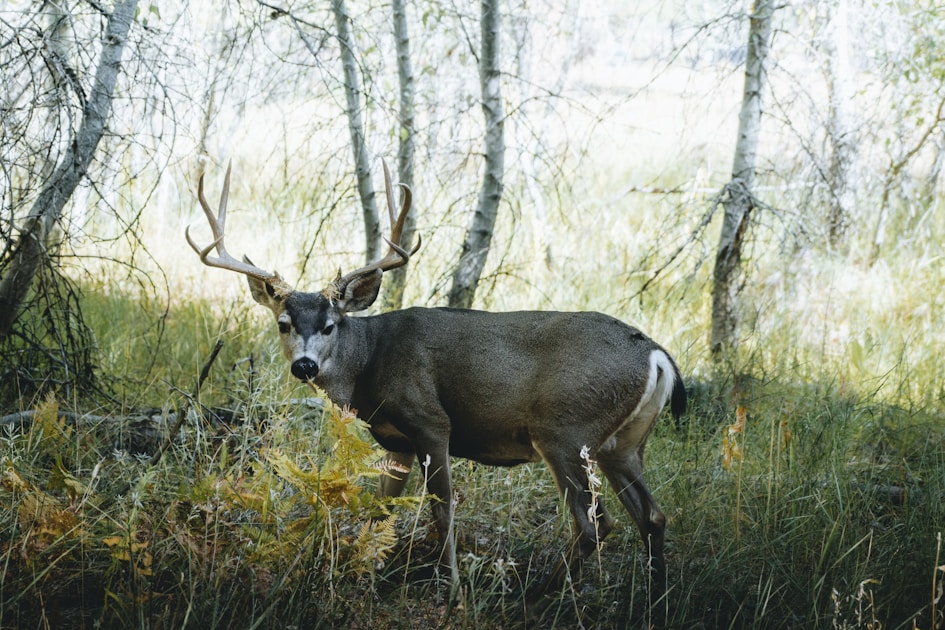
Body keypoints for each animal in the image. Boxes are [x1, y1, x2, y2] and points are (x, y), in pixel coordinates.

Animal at [187, 161, 686, 607]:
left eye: (331, 324)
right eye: (284, 324)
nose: (305, 366)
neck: (370, 366)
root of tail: (657, 354)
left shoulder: (430, 423)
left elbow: (442, 512)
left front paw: (452, 594)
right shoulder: (395, 440)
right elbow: (381, 510)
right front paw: (366, 573)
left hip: (565, 430)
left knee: (594, 524)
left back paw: (533, 599)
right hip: (620, 445)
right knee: (652, 515)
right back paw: (655, 599)